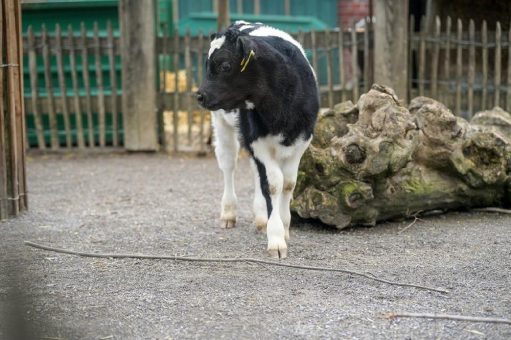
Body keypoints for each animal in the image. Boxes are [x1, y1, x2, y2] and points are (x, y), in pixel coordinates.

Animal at [197, 21, 320, 258]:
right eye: (207, 65)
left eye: (225, 66)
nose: (200, 95)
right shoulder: (256, 139)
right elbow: (272, 184)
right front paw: (276, 238)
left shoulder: (302, 140)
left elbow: (288, 183)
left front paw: (284, 226)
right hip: (223, 125)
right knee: (228, 164)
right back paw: (229, 213)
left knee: (256, 171)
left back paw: (262, 218)